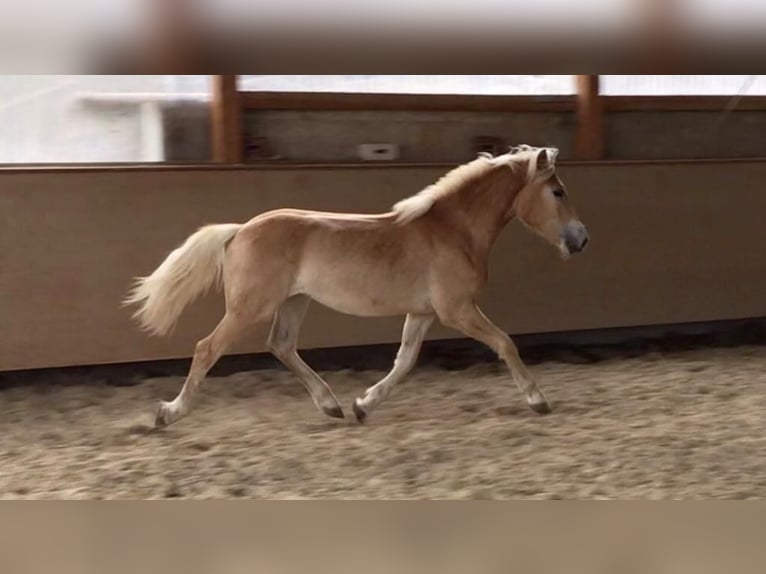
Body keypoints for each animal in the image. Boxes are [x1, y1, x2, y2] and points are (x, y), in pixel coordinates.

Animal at [126, 146, 592, 430]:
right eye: (557, 191)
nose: (581, 239)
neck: (454, 230)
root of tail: (239, 231)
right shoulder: (457, 310)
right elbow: (505, 342)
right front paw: (538, 400)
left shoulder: (424, 313)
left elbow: (404, 362)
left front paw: (363, 405)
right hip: (249, 307)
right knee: (208, 348)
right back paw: (169, 413)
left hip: (293, 302)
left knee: (282, 346)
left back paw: (331, 405)